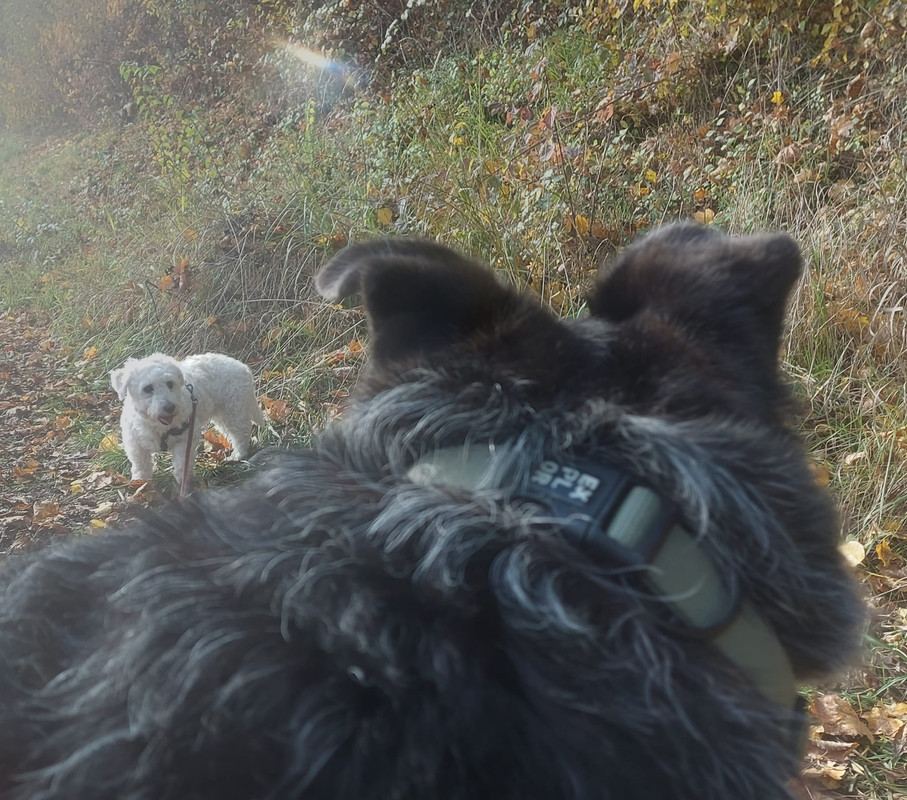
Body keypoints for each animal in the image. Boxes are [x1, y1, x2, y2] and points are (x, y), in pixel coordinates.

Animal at [110, 352, 266, 486]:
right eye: (147, 388)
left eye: (170, 383)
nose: (170, 407)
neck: (158, 426)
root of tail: (243, 367)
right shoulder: (135, 442)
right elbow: (140, 463)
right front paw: (140, 482)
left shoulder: (186, 437)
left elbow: (182, 461)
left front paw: (183, 480)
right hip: (222, 416)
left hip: (233, 411)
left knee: (241, 434)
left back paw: (238, 455)